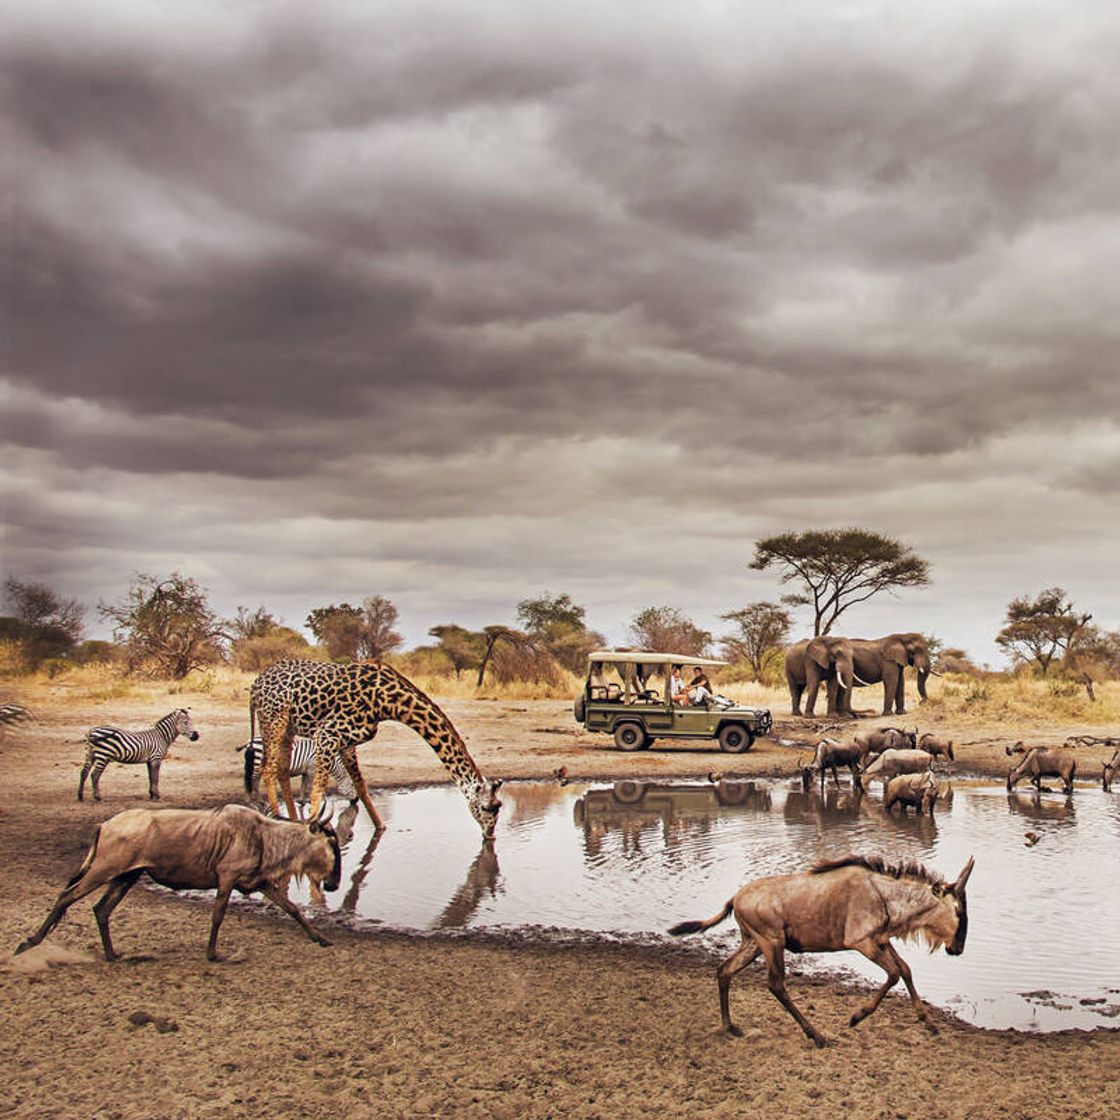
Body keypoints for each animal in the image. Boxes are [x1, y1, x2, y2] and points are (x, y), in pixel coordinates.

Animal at [252, 654, 506, 842]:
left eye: (499, 806)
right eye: (487, 808)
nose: (490, 835)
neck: (388, 703)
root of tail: (256, 684)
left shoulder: (348, 742)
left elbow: (361, 786)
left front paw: (381, 828)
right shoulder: (326, 734)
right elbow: (317, 791)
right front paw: (313, 830)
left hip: (288, 728)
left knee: (282, 770)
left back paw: (291, 820)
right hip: (274, 720)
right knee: (268, 769)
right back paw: (278, 818)